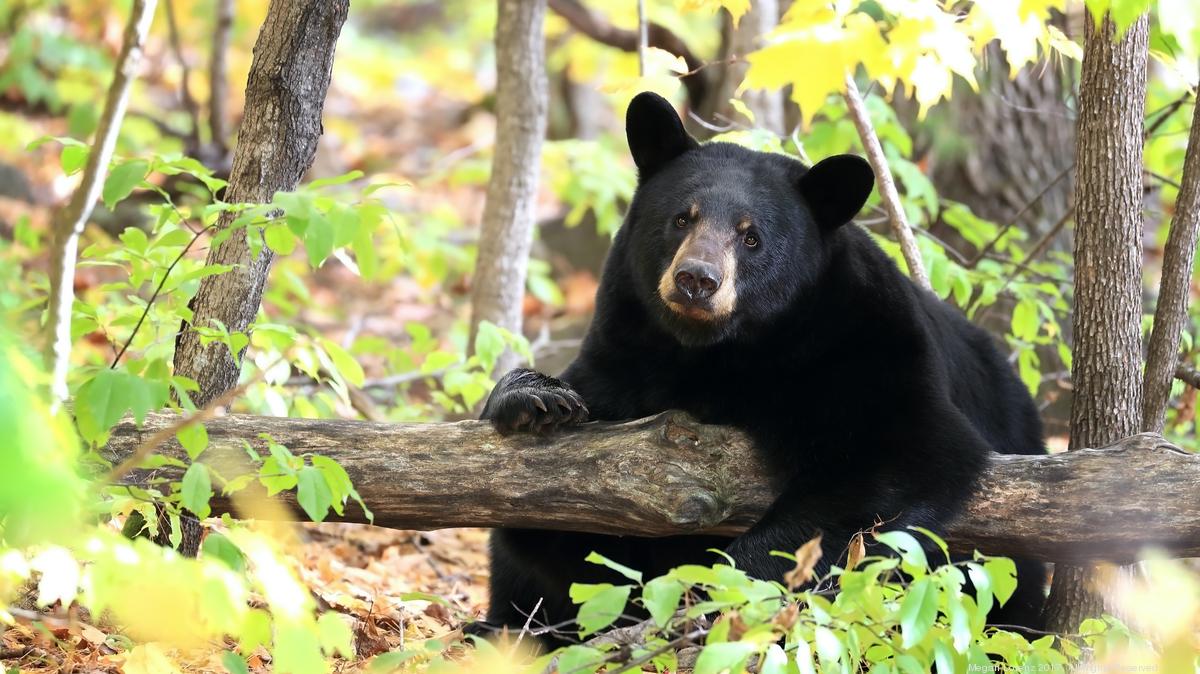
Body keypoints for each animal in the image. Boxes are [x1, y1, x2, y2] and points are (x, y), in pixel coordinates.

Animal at [470, 91, 1046, 645]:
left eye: (751, 237)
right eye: (682, 217)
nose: (696, 279)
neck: (717, 353)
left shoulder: (866, 346)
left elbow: (901, 452)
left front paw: (718, 591)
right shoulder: (624, 357)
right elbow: (570, 534)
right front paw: (535, 399)